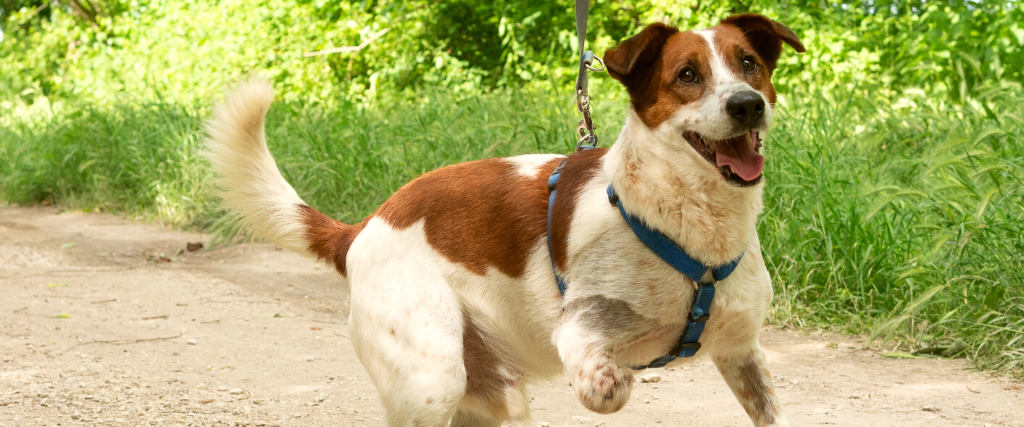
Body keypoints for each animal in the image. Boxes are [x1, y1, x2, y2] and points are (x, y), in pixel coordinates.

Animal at [203, 13, 802, 425]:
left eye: (748, 64)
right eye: (687, 75)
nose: (748, 105)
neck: (694, 233)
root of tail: (363, 228)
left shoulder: (742, 353)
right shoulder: (580, 334)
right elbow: (605, 389)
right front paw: (617, 386)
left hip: (492, 393)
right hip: (431, 378)